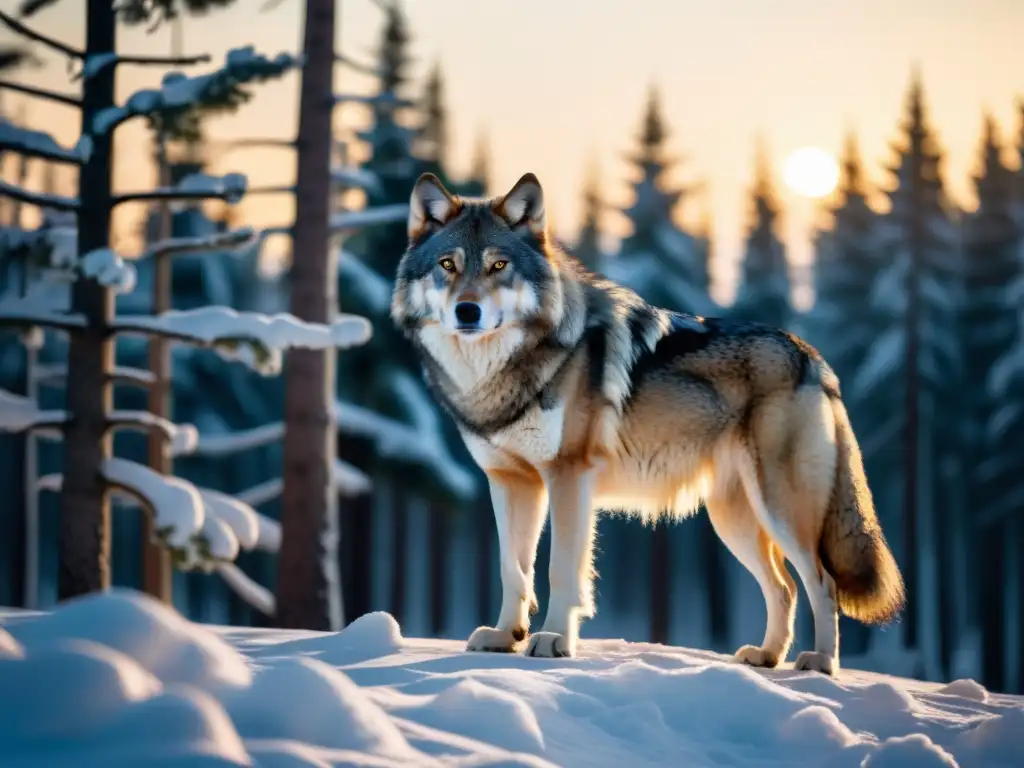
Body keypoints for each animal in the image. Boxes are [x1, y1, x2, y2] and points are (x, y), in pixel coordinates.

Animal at [391, 171, 905, 675]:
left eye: (498, 266)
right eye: (448, 265)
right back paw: (767, 656)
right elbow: (512, 568)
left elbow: (560, 569)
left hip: (780, 509)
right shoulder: (510, 481)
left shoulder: (568, 476)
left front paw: (553, 640)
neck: (501, 373)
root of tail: (812, 357)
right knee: (785, 587)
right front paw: (505, 637)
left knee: (822, 582)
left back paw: (820, 663)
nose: (468, 311)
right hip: (733, 520)